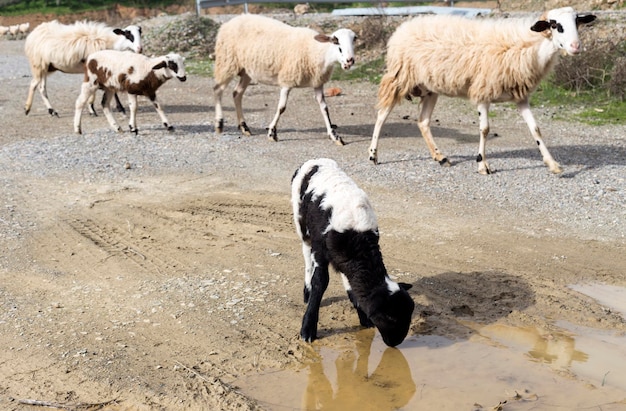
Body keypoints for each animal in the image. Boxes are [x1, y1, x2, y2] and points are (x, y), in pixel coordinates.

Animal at [211, 13, 354, 146]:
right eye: (336, 43)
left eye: (354, 41)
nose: (350, 61)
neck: (316, 51)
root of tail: (228, 23)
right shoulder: (287, 80)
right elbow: (281, 108)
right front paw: (272, 133)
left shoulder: (318, 83)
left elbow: (324, 108)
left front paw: (335, 136)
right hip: (227, 62)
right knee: (218, 89)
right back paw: (219, 124)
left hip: (247, 71)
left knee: (237, 94)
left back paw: (244, 127)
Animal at [292, 158, 414, 348]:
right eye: (390, 317)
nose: (396, 342)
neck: (357, 236)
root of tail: (315, 160)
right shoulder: (321, 250)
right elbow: (320, 282)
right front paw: (308, 328)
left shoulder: (345, 257)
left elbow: (350, 283)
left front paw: (363, 316)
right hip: (301, 220)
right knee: (306, 252)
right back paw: (307, 291)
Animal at [368, 6, 596, 174]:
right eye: (556, 25)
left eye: (577, 22)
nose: (576, 47)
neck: (529, 47)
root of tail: (403, 27)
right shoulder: (483, 91)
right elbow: (484, 129)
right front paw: (482, 164)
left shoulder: (520, 97)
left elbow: (535, 129)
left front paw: (553, 164)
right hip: (399, 77)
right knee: (382, 114)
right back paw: (373, 155)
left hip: (430, 88)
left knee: (423, 122)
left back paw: (440, 157)